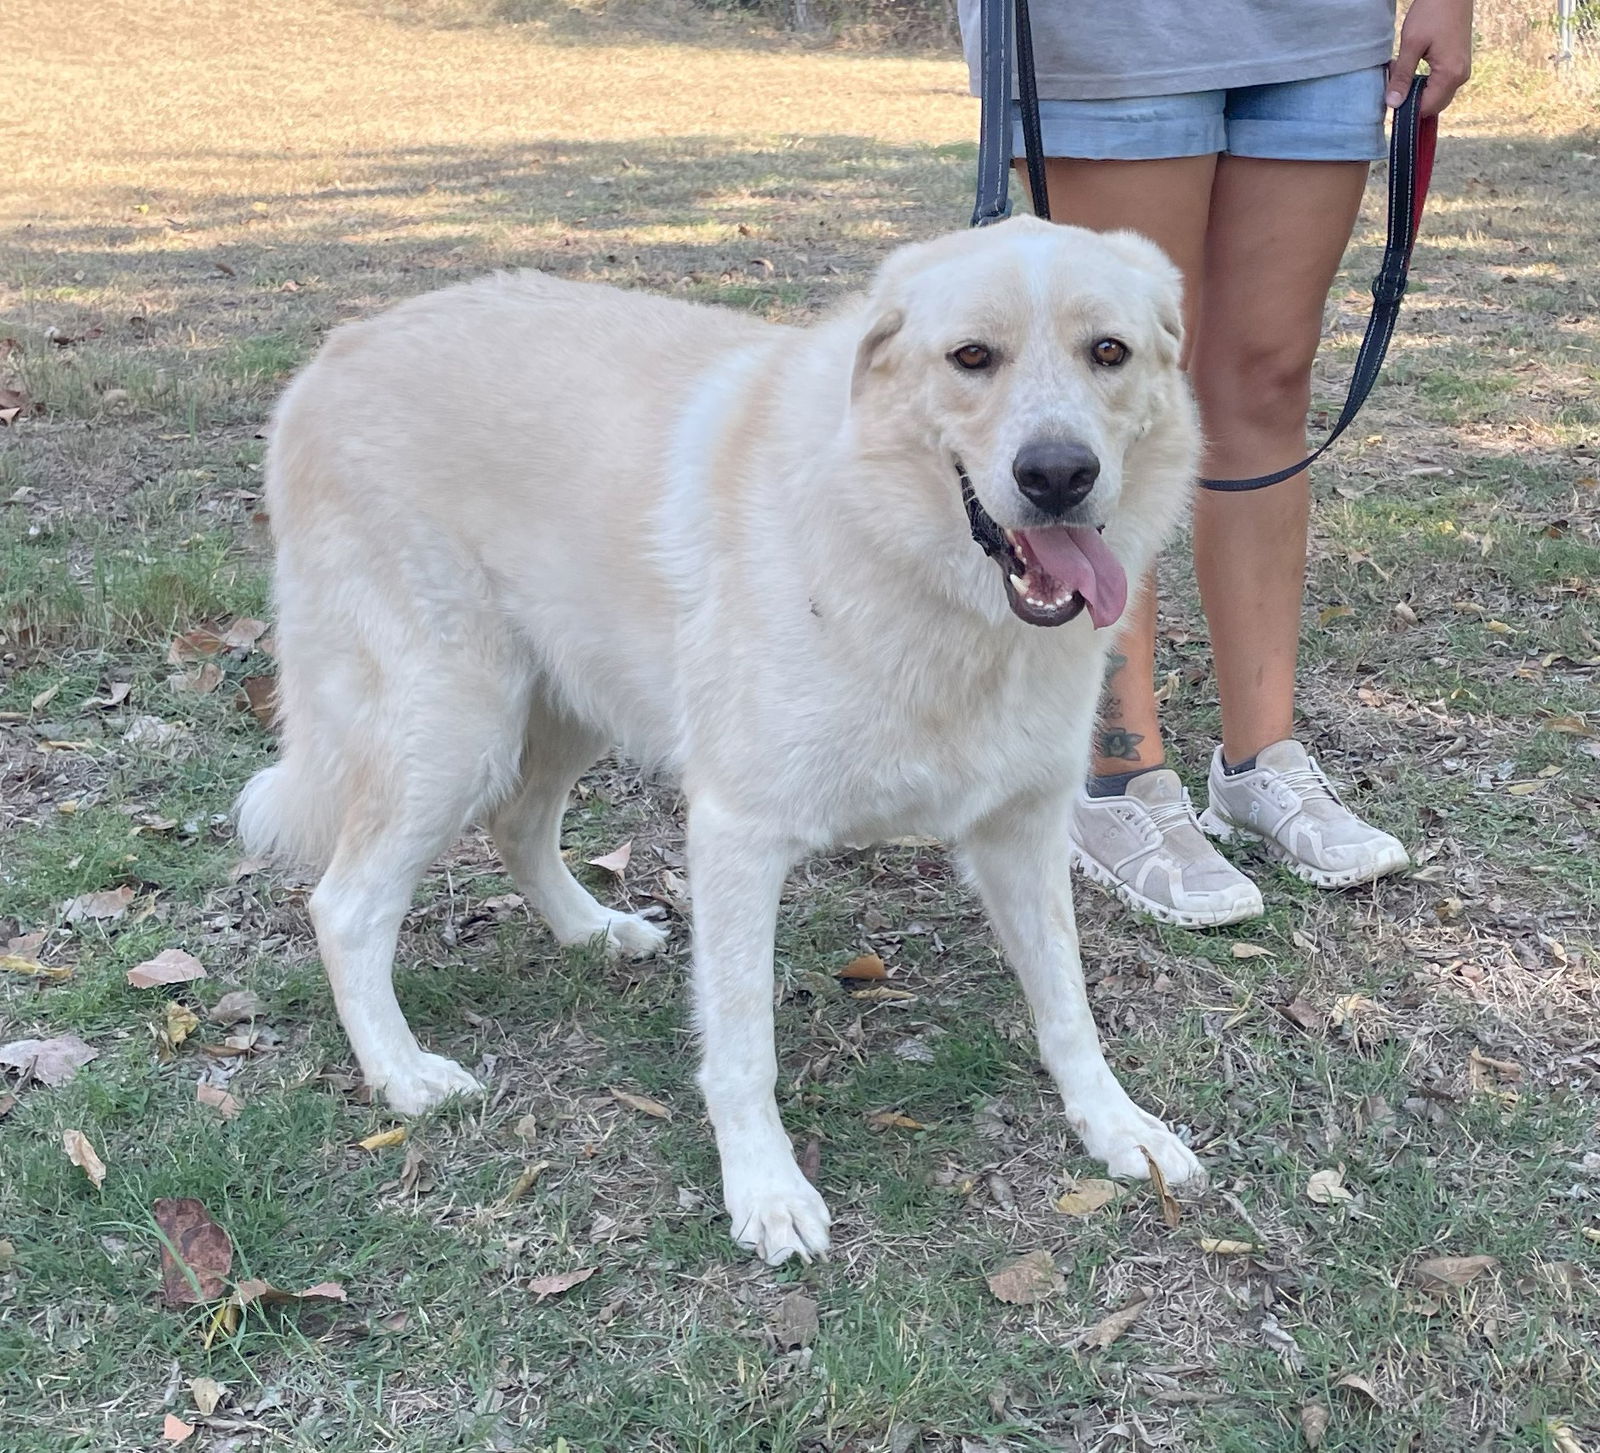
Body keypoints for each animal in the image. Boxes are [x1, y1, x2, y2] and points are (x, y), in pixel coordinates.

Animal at [240, 212, 1203, 1260]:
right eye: (972, 358)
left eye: (1107, 352)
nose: (1058, 474)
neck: (906, 559)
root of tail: (334, 352)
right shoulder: (741, 831)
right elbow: (744, 1043)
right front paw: (767, 1189)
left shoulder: (1024, 827)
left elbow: (1068, 1006)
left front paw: (1116, 1127)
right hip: (456, 726)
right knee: (346, 907)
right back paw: (403, 1074)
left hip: (569, 702)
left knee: (518, 828)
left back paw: (591, 930)